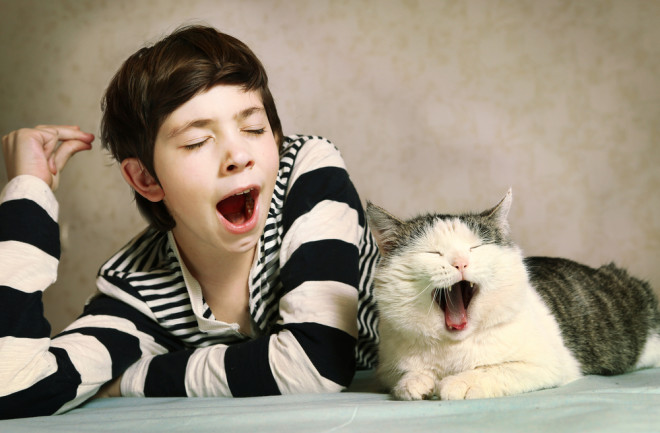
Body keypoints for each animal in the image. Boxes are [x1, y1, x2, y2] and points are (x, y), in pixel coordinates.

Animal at [366, 191, 660, 400]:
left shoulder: (545, 365)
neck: (453, 346)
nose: (460, 262)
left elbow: (491, 369)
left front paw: (459, 382)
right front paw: (415, 381)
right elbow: (404, 374)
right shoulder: (386, 369)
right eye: (433, 253)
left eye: (475, 248)